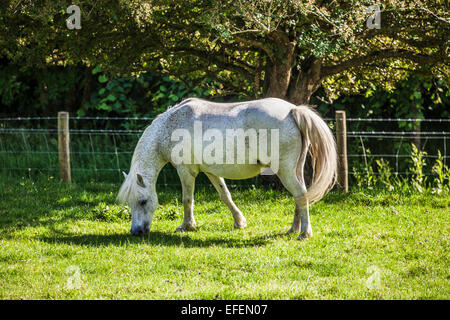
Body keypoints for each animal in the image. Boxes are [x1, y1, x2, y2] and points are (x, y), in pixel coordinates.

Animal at [118, 97, 336, 240]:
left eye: (143, 201)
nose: (136, 232)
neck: (172, 125)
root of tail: (293, 111)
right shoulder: (210, 171)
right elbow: (225, 196)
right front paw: (239, 222)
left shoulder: (186, 171)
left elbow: (187, 200)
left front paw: (187, 226)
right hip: (294, 170)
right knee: (300, 196)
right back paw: (293, 229)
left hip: (285, 171)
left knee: (300, 194)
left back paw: (304, 233)